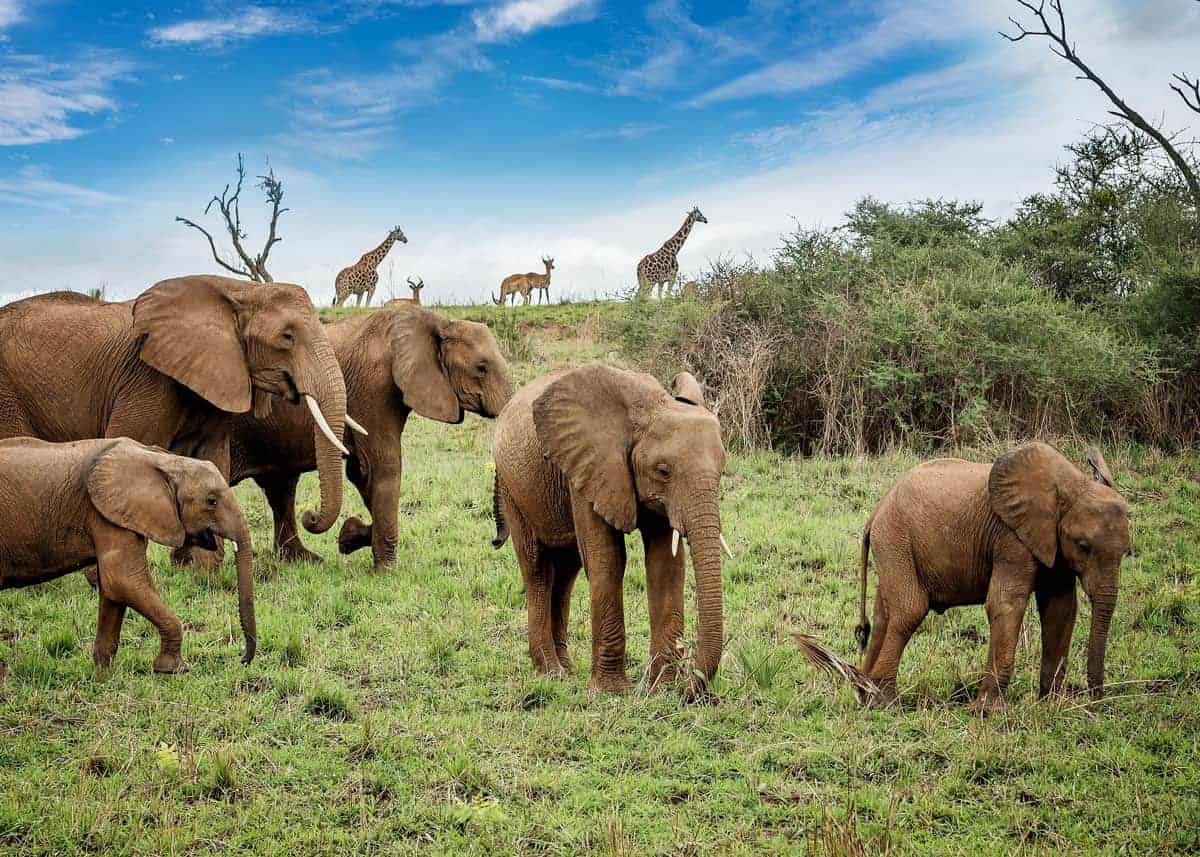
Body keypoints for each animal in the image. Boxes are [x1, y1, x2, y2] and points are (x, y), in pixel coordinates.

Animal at [0, 273, 357, 566]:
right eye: (287, 337)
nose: (313, 517)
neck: (239, 291)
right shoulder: (147, 379)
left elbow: (212, 459)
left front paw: (202, 571)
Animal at [0, 436, 253, 672]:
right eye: (212, 501)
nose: (243, 659)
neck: (163, 461)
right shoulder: (106, 515)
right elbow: (124, 582)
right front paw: (171, 669)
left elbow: (113, 591)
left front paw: (102, 676)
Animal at [231, 303, 513, 571]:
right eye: (481, 368)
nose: (495, 542)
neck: (437, 322)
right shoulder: (373, 387)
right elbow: (381, 466)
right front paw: (385, 570)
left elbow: (361, 472)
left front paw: (349, 537)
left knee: (281, 488)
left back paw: (302, 560)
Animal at [489, 362, 729, 696]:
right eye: (663, 471)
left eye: (722, 470)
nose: (690, 689)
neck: (651, 405)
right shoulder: (589, 467)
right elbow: (608, 560)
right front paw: (613, 691)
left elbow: (665, 565)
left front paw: (660, 688)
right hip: (515, 486)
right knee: (537, 567)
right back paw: (551, 672)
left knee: (567, 569)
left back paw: (567, 669)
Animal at [806, 436, 1123, 710]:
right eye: (1083, 546)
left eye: (1126, 551)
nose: (1097, 701)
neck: (1070, 484)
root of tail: (876, 511)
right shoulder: (1011, 537)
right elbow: (1006, 604)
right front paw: (989, 712)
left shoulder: (1051, 545)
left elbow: (1060, 608)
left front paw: (1053, 706)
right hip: (895, 538)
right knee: (909, 611)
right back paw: (885, 703)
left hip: (894, 544)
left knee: (885, 615)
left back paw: (866, 695)